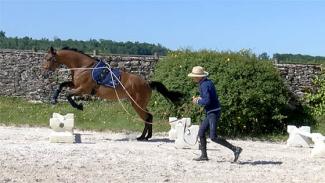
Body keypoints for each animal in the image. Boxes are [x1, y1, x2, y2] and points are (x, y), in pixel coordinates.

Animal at [42, 46, 184, 140]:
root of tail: (148, 83)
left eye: (49, 58)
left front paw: (79, 106)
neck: (83, 67)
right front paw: (54, 99)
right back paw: (145, 136)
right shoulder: (75, 85)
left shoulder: (83, 89)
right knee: (149, 116)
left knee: (148, 116)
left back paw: (143, 137)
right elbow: (61, 85)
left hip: (137, 104)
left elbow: (68, 94)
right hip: (138, 103)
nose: (44, 72)